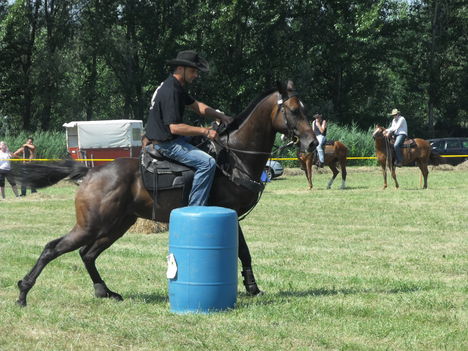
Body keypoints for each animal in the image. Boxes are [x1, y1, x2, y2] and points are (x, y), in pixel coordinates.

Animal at [15, 81, 318, 306]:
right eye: (293, 110)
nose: (312, 142)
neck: (234, 158)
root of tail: (90, 173)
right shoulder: (228, 211)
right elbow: (243, 250)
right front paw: (253, 288)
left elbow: (244, 252)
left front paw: (253, 287)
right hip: (92, 224)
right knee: (53, 248)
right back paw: (23, 292)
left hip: (117, 225)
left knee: (87, 254)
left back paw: (105, 292)